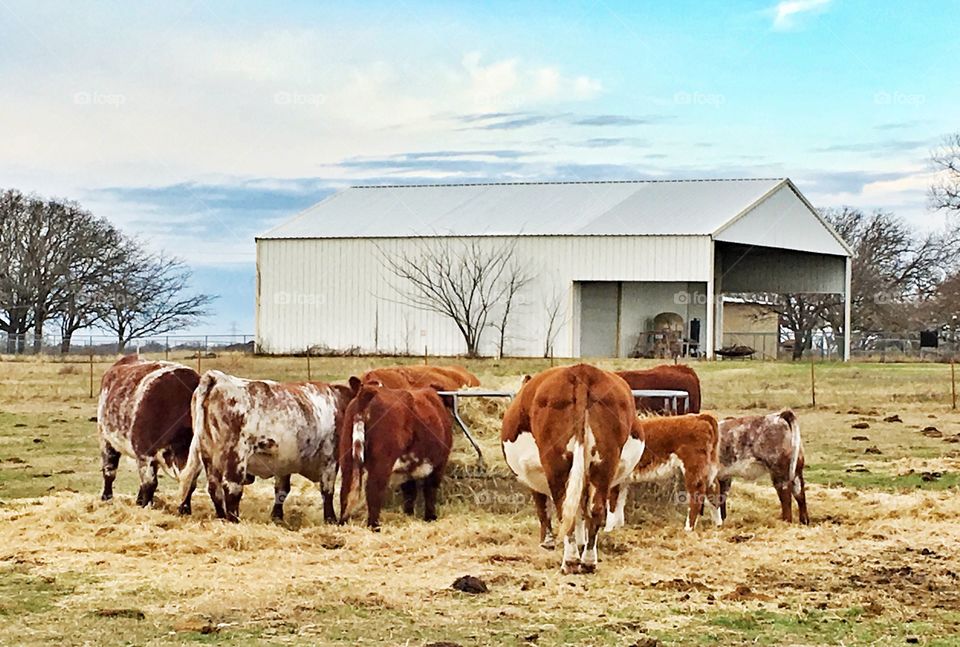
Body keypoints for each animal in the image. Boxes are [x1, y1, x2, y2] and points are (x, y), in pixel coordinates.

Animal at [96, 355, 199, 507]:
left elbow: (189, 484)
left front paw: (185, 508)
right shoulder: (145, 453)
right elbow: (150, 484)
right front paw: (146, 506)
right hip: (106, 440)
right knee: (109, 471)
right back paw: (107, 497)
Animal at [177, 370, 357, 523]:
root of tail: (218, 377)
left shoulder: (284, 461)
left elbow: (282, 490)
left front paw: (277, 517)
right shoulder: (330, 459)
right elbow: (327, 490)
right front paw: (330, 519)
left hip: (209, 455)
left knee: (215, 489)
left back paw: (221, 518)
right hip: (235, 456)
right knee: (232, 489)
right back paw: (234, 521)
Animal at [338, 378, 453, 529]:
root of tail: (368, 391)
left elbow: (410, 492)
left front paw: (409, 515)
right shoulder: (439, 464)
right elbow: (430, 490)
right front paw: (430, 517)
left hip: (347, 460)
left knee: (345, 491)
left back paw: (342, 523)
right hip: (381, 463)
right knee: (374, 491)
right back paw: (374, 526)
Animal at [501, 364, 644, 574]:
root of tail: (581, 371)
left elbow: (544, 508)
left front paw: (547, 542)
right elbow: (580, 511)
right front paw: (581, 541)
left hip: (556, 465)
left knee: (563, 509)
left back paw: (569, 561)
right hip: (604, 463)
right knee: (595, 509)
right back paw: (588, 561)